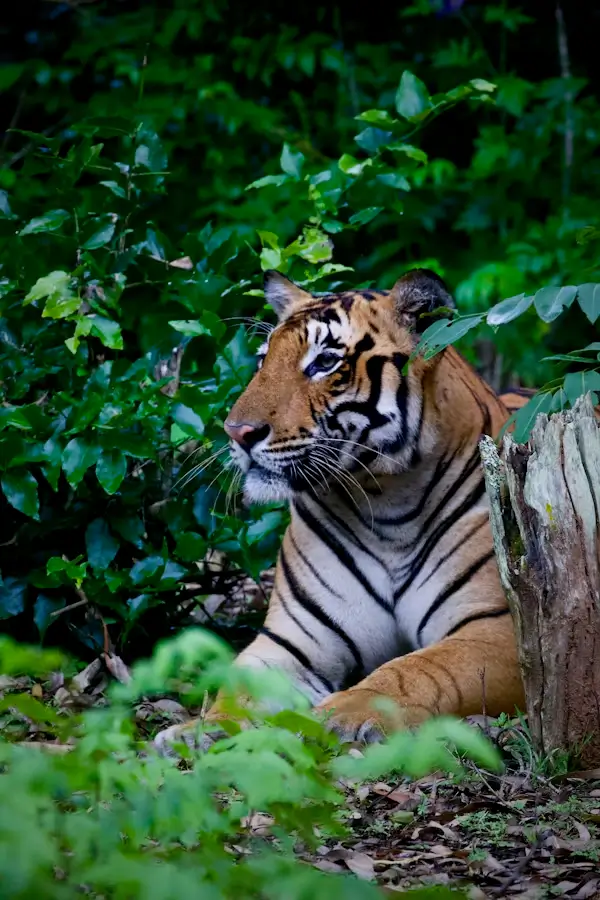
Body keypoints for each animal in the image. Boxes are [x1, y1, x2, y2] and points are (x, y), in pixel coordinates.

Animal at [155, 267, 527, 755]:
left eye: (324, 362)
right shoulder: (292, 640)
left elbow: (416, 669)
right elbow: (238, 687)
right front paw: (200, 731)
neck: (386, 504)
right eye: (262, 361)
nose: (237, 432)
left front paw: (342, 713)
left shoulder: (498, 630)